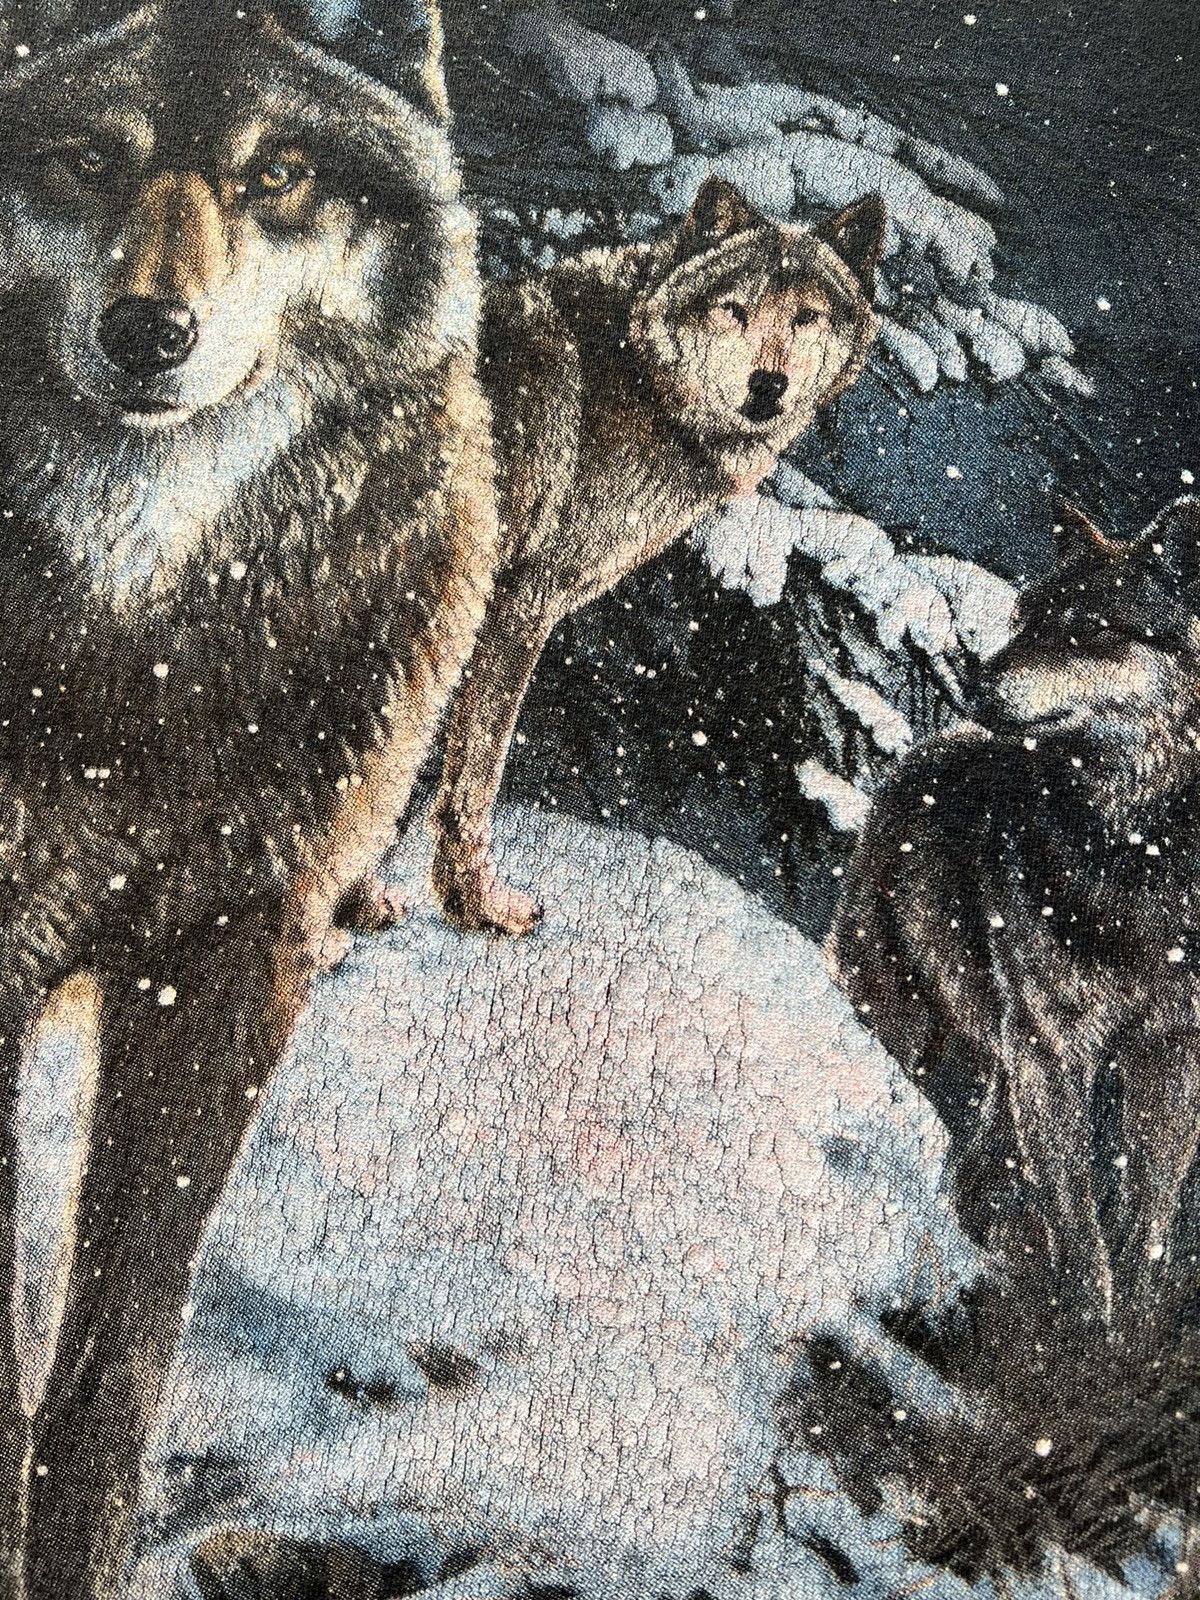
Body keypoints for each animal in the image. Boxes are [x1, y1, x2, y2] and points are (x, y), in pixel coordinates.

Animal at [421, 179, 882, 934]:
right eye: (736, 309)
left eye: (807, 316)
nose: (767, 386)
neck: (640, 377)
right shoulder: (518, 607)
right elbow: (472, 776)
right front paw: (475, 907)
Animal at [831, 498, 1200, 1327]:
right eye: (1025, 617)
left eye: (1089, 627)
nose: (976, 679)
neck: (1137, 846)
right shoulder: (1053, 1051)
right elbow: (1080, 1228)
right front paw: (1086, 1333)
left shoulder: (1172, 1053)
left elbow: (1147, 1219)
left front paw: (1126, 1335)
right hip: (917, 1032)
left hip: (1003, 1066)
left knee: (982, 1167)